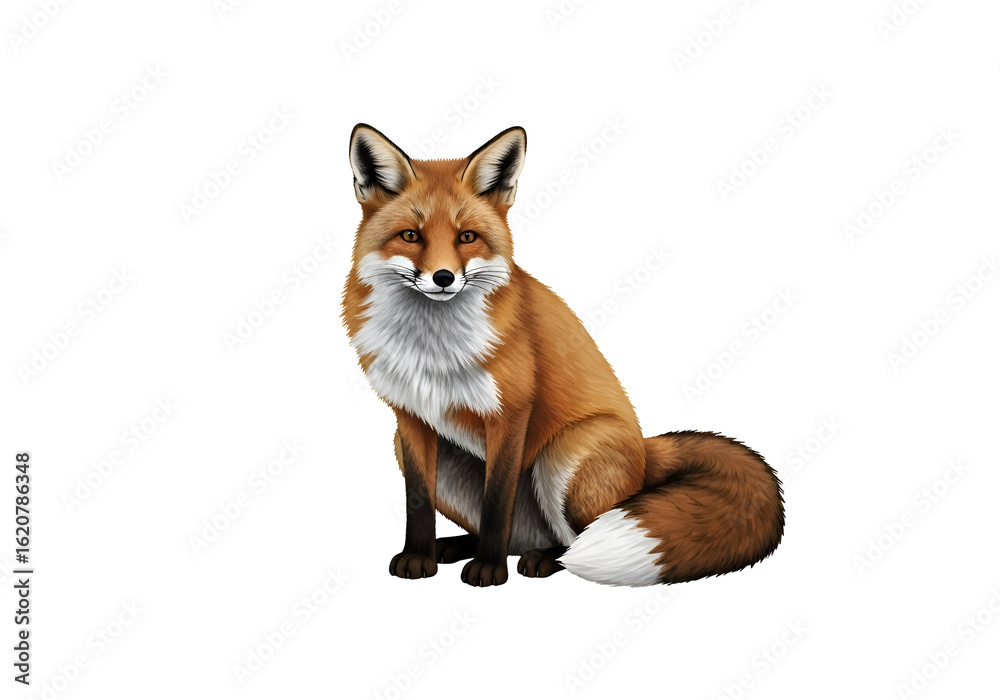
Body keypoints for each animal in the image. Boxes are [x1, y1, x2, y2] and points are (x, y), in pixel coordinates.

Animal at [342, 123, 784, 587]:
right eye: (411, 235)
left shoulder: (512, 412)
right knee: (516, 533)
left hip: (563, 456)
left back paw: (542, 559)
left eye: (467, 237)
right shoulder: (409, 418)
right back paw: (460, 546)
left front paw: (489, 569)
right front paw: (418, 558)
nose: (443, 277)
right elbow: (418, 501)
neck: (432, 347)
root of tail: (648, 456)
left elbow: (497, 500)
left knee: (573, 539)